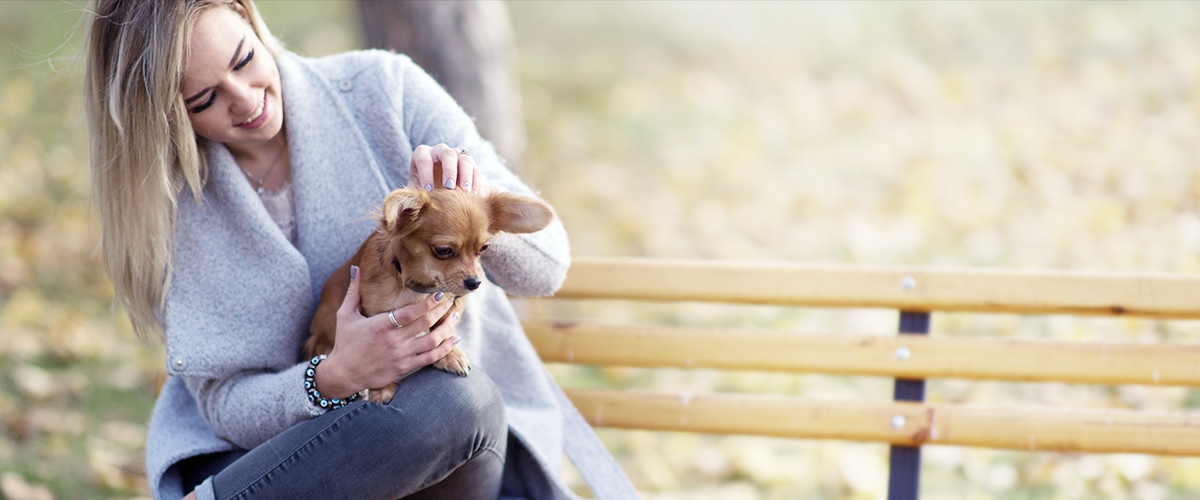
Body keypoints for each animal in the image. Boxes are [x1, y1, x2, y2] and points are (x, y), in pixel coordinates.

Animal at [307, 179, 554, 400]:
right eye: (443, 250)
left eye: (484, 248)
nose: (474, 282)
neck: (417, 287)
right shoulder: (373, 318)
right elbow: (371, 359)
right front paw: (381, 387)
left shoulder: (451, 302)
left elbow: (442, 329)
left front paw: (449, 354)